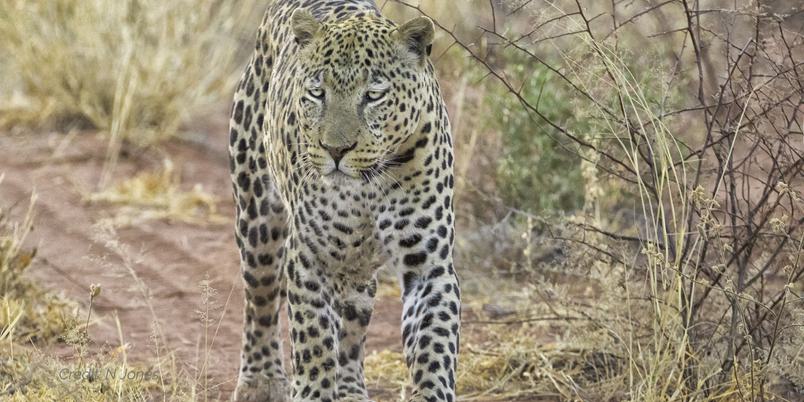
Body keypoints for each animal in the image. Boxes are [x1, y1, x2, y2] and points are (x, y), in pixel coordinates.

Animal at [228, 1, 460, 401]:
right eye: (317, 93)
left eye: (374, 96)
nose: (336, 150)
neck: (367, 185)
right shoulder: (310, 259)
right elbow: (314, 341)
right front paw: (310, 391)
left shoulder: (429, 265)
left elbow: (433, 346)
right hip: (257, 217)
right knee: (260, 299)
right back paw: (262, 380)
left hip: (357, 265)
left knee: (353, 323)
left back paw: (350, 387)